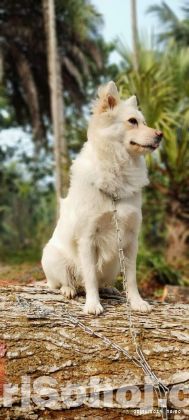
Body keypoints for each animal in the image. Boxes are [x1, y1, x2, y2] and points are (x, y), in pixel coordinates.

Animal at [41, 81, 162, 316]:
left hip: (113, 264)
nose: (160, 134)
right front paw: (93, 304)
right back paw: (69, 289)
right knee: (65, 282)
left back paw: (108, 289)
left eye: (144, 122)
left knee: (100, 280)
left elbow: (131, 278)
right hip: (54, 257)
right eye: (132, 121)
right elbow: (89, 277)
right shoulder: (88, 238)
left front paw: (136, 302)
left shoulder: (130, 239)